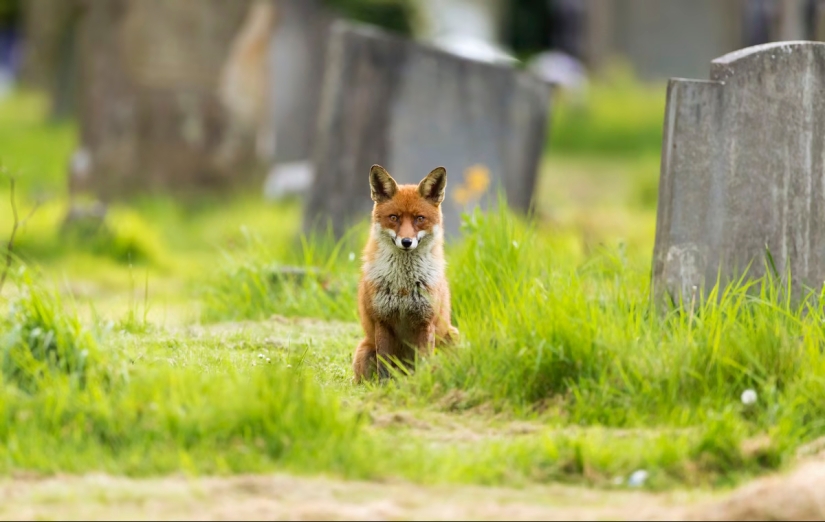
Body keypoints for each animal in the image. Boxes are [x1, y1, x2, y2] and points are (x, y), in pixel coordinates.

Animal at [352, 164, 460, 383]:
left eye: (420, 219)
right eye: (394, 218)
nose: (407, 242)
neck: (403, 285)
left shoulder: (426, 322)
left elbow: (424, 363)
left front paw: (422, 383)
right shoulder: (382, 321)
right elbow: (385, 367)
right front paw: (384, 387)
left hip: (453, 337)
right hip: (365, 351)